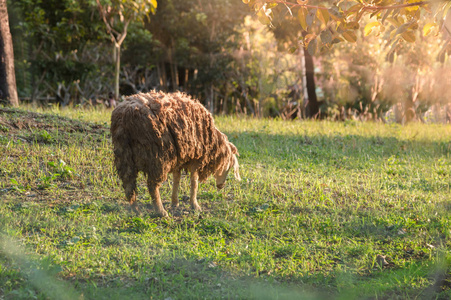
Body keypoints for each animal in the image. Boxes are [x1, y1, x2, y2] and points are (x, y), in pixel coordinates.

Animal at [111, 90, 242, 217]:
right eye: (229, 166)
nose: (221, 186)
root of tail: (125, 118)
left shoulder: (180, 158)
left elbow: (176, 179)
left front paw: (175, 202)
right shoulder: (196, 158)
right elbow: (194, 182)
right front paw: (195, 205)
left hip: (124, 156)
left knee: (129, 185)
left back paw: (136, 210)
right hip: (157, 157)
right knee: (152, 185)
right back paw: (161, 212)